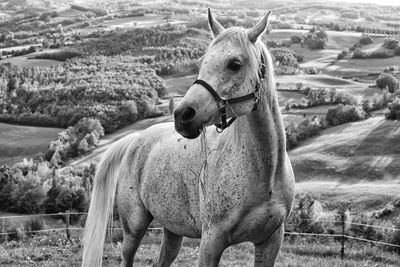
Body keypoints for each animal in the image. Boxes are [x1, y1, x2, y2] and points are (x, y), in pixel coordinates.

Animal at [82, 8, 294, 267]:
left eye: (235, 64)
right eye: (203, 62)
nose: (183, 115)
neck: (264, 173)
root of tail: (136, 139)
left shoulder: (270, 241)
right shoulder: (211, 242)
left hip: (172, 229)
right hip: (134, 227)